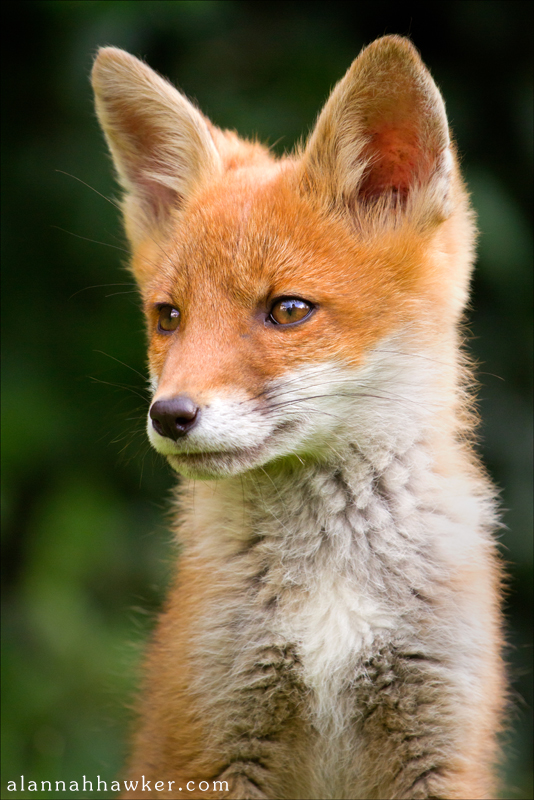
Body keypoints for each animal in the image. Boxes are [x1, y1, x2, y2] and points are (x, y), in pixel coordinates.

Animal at [92, 34, 506, 796]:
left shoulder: (440, 746)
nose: (170, 414)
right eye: (169, 317)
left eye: (288, 310)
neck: (332, 596)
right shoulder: (214, 744)